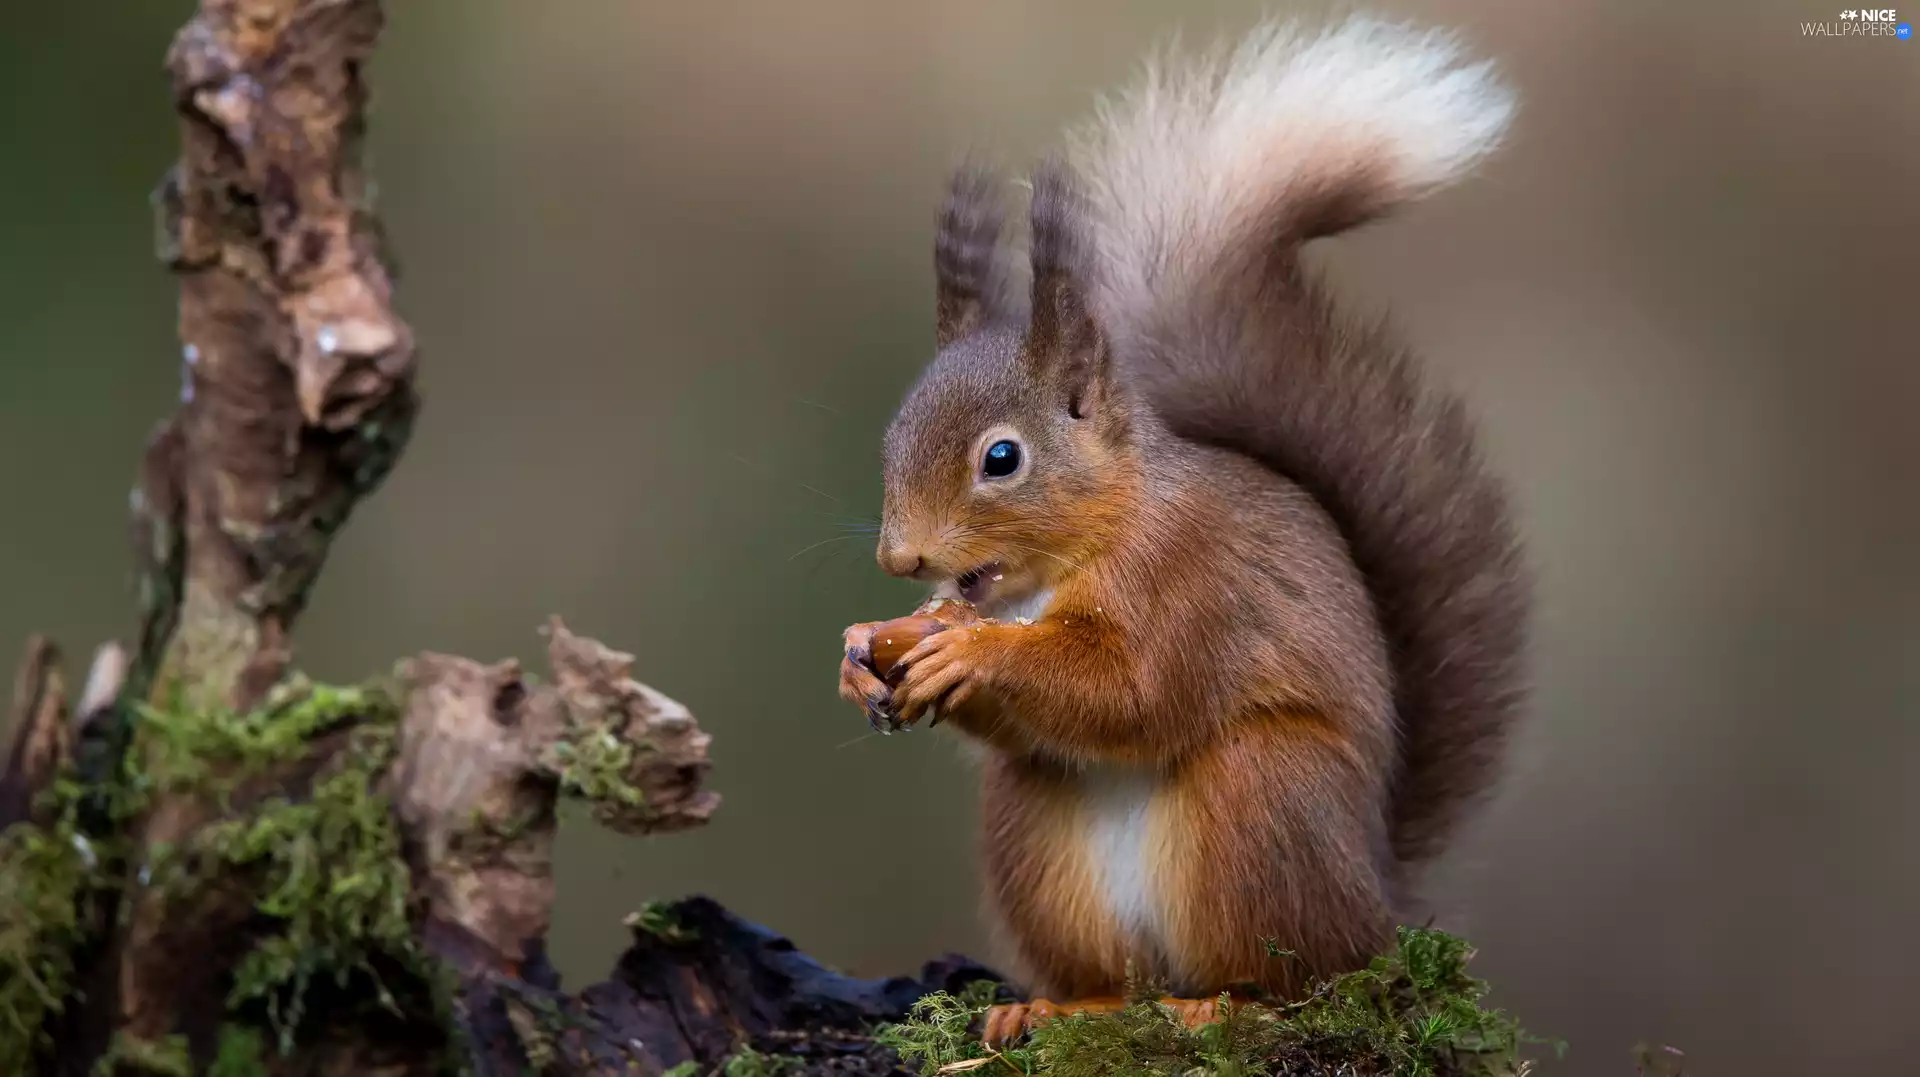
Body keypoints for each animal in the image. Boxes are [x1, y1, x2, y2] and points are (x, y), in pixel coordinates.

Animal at [838, 14, 1528, 1043]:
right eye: (891, 435)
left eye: (1001, 458)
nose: (900, 557)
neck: (1067, 561)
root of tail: (1378, 898)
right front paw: (864, 650)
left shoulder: (1196, 577)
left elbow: (1136, 688)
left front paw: (969, 649)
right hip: (1035, 832)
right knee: (1111, 967)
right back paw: (1052, 1003)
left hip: (1263, 799)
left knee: (1298, 971)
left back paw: (1221, 1000)